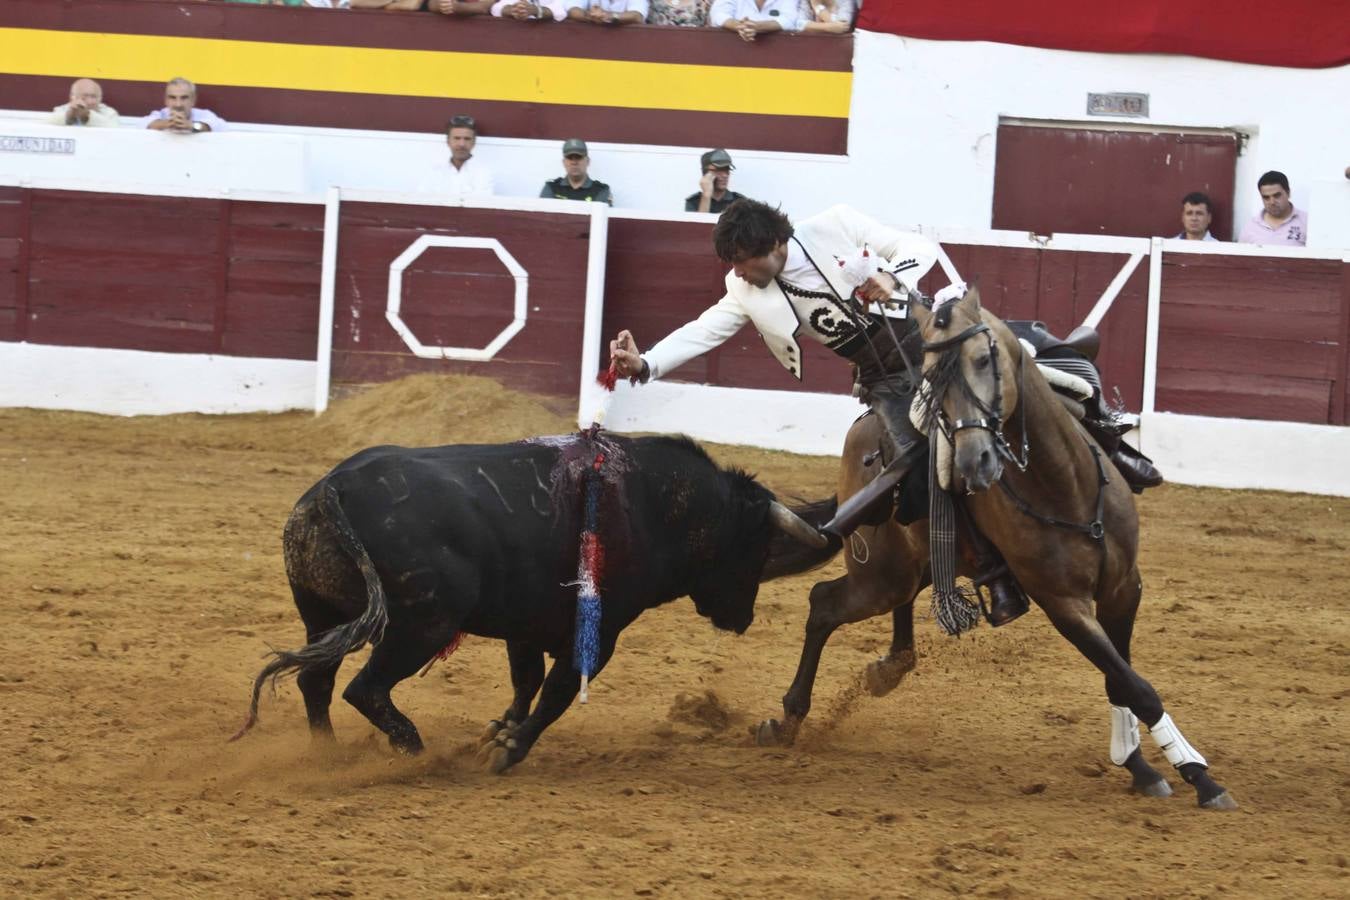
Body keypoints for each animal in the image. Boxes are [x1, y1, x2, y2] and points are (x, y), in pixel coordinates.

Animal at [237, 431, 837, 771]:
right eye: (754, 548)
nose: (743, 617)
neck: (655, 505)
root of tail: (333, 489)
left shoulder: (523, 625)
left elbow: (526, 681)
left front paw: (499, 731)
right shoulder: (599, 633)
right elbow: (557, 693)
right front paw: (509, 749)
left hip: (324, 616)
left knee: (316, 681)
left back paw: (327, 754)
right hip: (423, 625)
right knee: (363, 688)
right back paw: (413, 750)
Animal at [756, 287, 1236, 809]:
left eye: (984, 359)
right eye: (931, 379)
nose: (975, 460)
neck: (1063, 484)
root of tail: (862, 439)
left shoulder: (1125, 587)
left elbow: (1120, 677)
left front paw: (1141, 765)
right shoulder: (1062, 604)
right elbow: (1133, 684)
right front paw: (1197, 776)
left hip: (916, 568)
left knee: (860, 606)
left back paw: (886, 668)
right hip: (882, 576)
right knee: (823, 602)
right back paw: (788, 719)